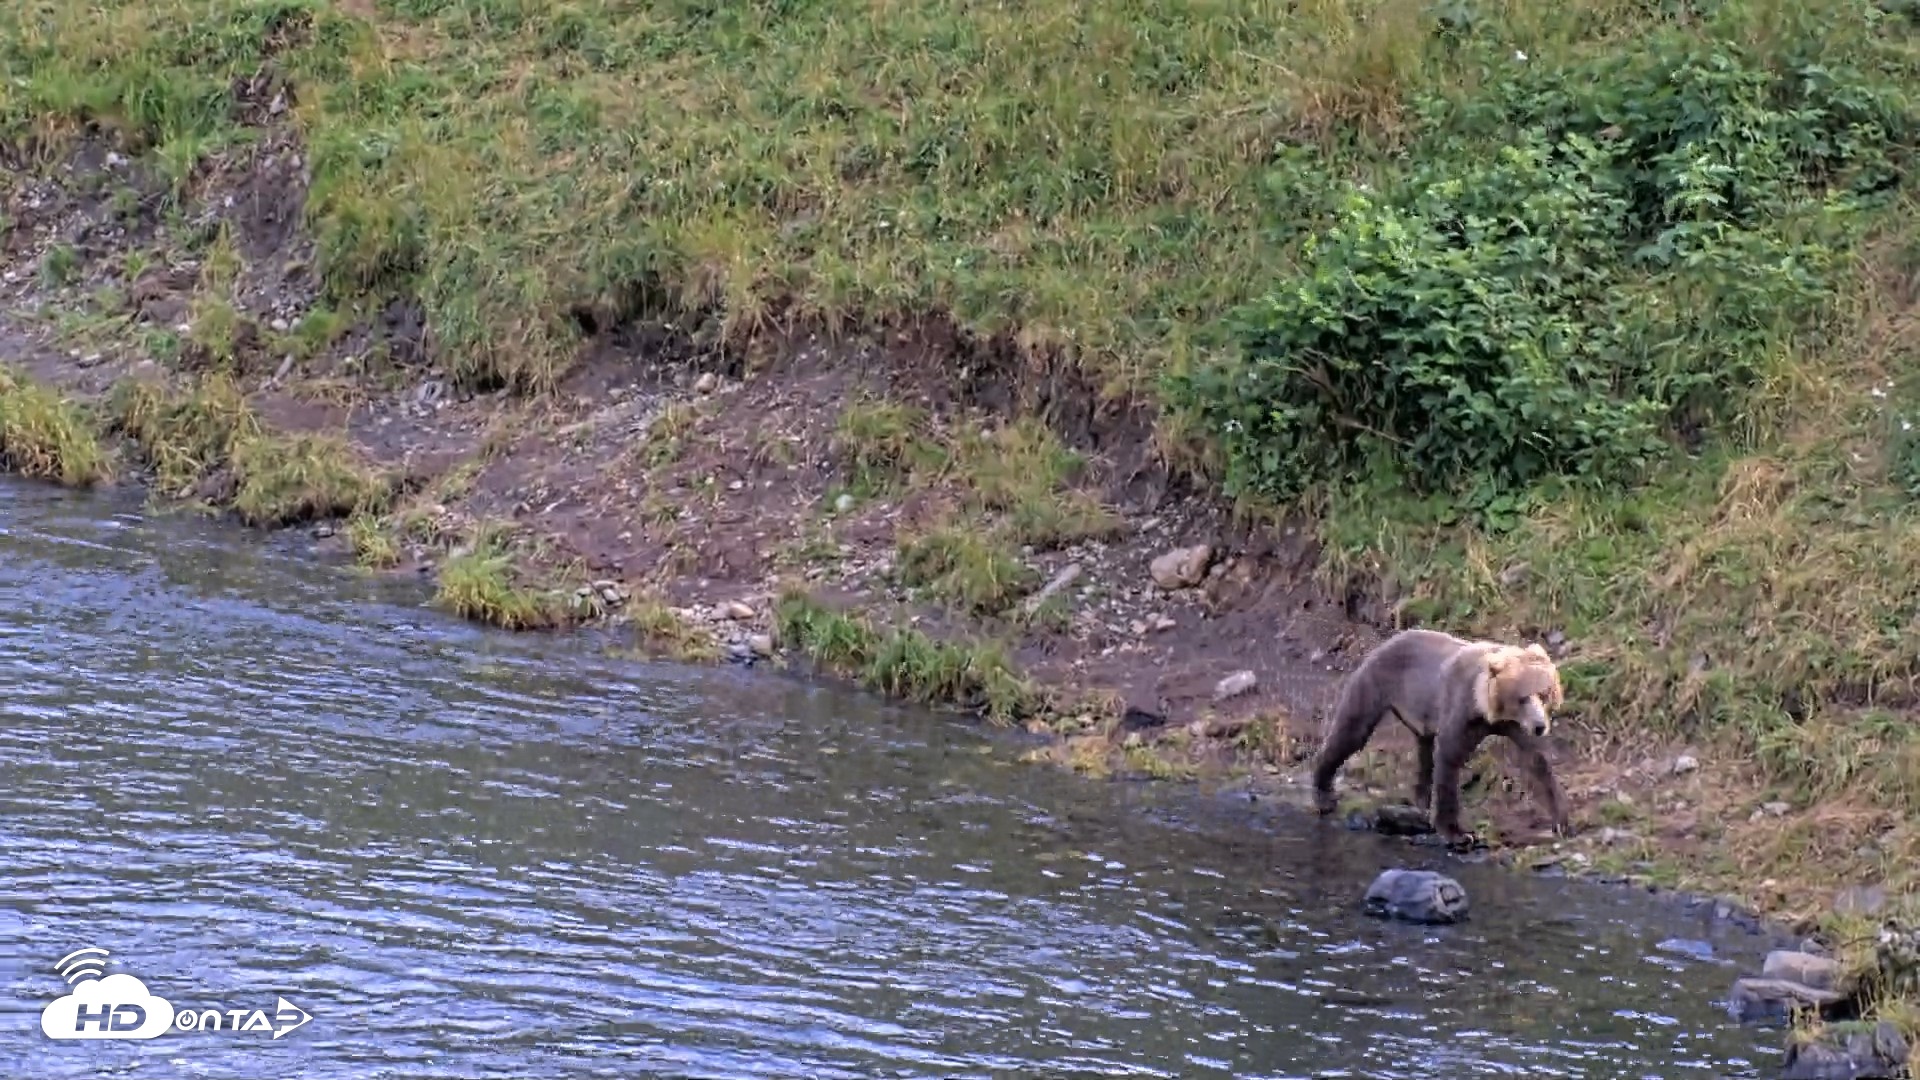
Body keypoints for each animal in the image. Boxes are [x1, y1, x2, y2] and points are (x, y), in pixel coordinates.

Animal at [1309, 627, 1570, 849]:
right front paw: (1457, 832)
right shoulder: (1461, 711)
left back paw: (1421, 803)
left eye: (1544, 694)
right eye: (1523, 697)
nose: (1540, 726)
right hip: (1376, 683)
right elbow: (1450, 758)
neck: (1486, 709)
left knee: (1423, 755)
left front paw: (1562, 821)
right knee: (1352, 731)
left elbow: (1536, 761)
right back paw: (1324, 795)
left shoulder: (1514, 726)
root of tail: (1389, 639)